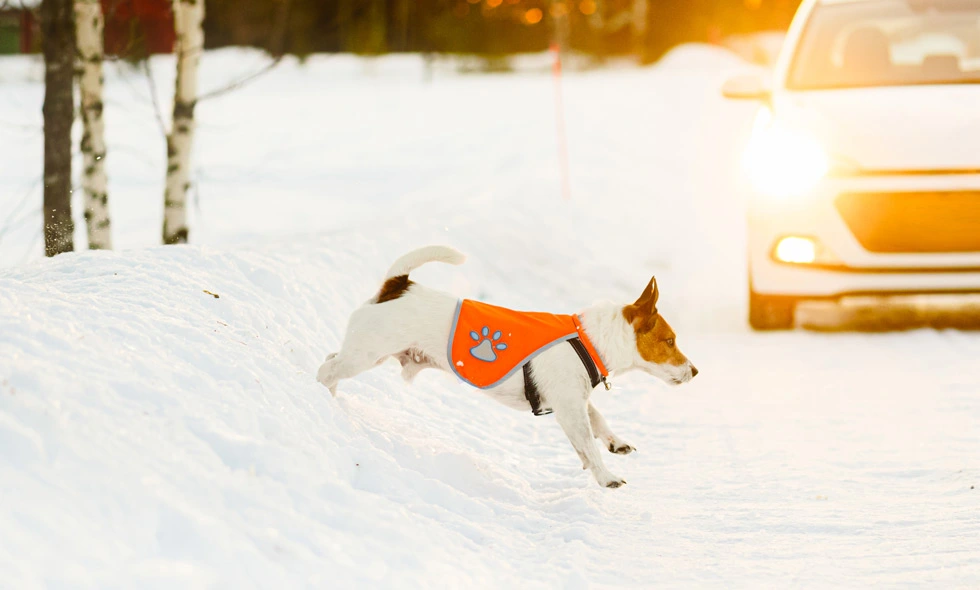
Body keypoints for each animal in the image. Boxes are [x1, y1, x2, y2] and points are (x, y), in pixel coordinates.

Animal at [316, 246, 696, 490]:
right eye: (670, 341)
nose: (695, 372)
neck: (589, 338)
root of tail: (398, 285)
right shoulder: (569, 408)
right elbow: (588, 441)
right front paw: (606, 477)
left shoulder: (574, 401)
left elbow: (598, 421)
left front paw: (615, 443)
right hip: (365, 354)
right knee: (327, 370)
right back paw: (319, 394)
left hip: (365, 352)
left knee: (330, 359)